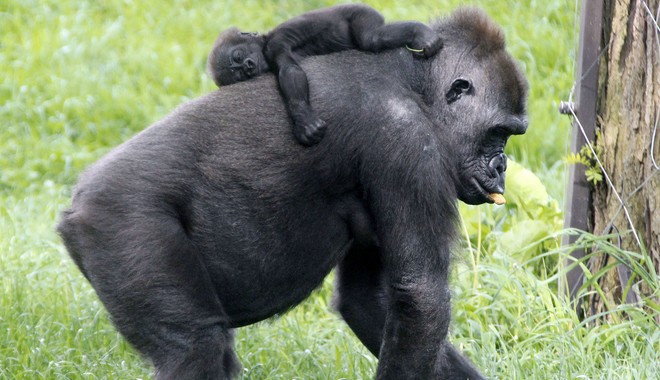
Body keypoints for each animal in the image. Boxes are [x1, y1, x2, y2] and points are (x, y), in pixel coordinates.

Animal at [206, 4, 444, 147]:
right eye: (237, 74)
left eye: (238, 55)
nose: (248, 66)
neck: (263, 41)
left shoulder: (275, 43)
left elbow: (290, 72)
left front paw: (304, 120)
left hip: (361, 12)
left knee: (372, 37)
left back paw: (418, 32)